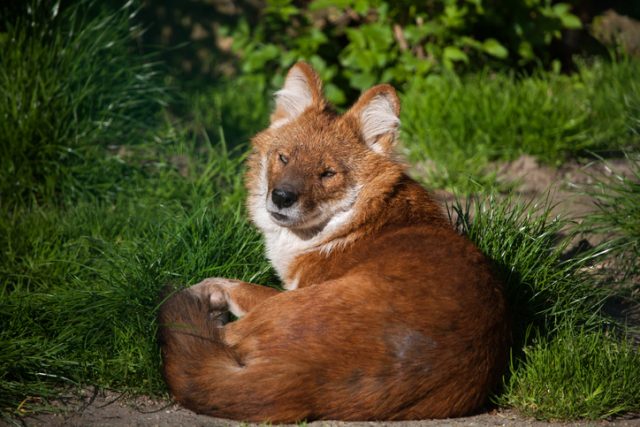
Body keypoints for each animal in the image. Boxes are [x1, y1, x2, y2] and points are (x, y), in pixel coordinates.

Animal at [159, 62, 510, 424]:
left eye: (327, 173)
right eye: (284, 158)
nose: (282, 197)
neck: (354, 224)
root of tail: (310, 378)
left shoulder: (288, 289)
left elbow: (230, 283)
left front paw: (202, 291)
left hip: (286, 307)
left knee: (216, 334)